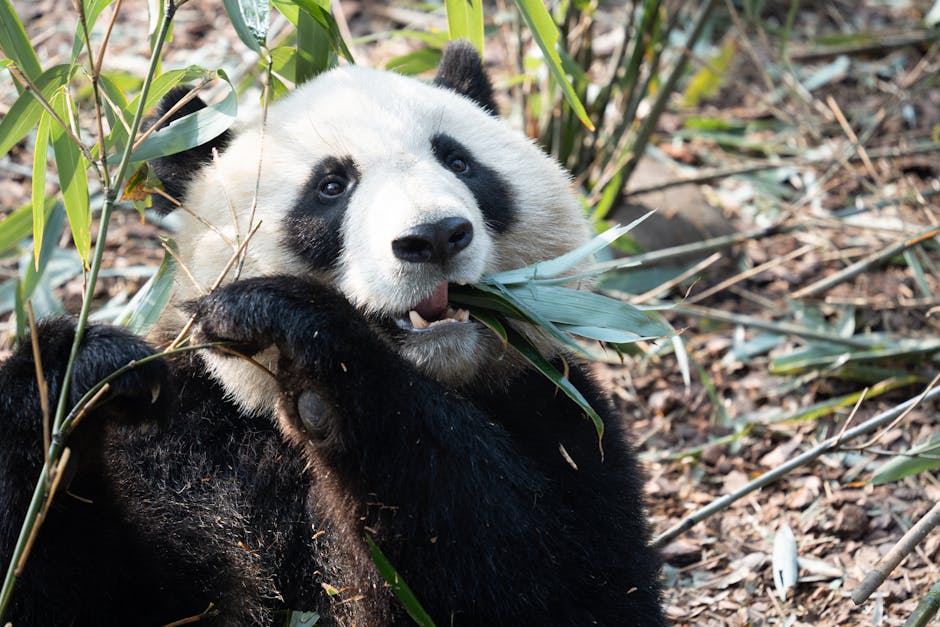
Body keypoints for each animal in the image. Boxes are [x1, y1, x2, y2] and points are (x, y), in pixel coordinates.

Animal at [0, 42, 664, 625]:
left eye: (459, 162)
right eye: (331, 186)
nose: (434, 236)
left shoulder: (560, 417)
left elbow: (556, 581)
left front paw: (302, 342)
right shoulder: (187, 436)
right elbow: (93, 595)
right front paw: (80, 377)